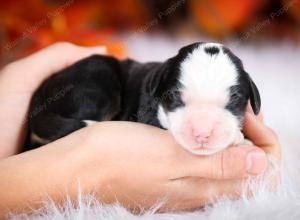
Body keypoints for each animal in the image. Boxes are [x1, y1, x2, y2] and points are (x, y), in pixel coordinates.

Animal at [26, 41, 260, 155]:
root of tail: (37, 105)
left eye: (234, 100)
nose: (202, 133)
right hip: (96, 82)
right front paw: (238, 138)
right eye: (174, 96)